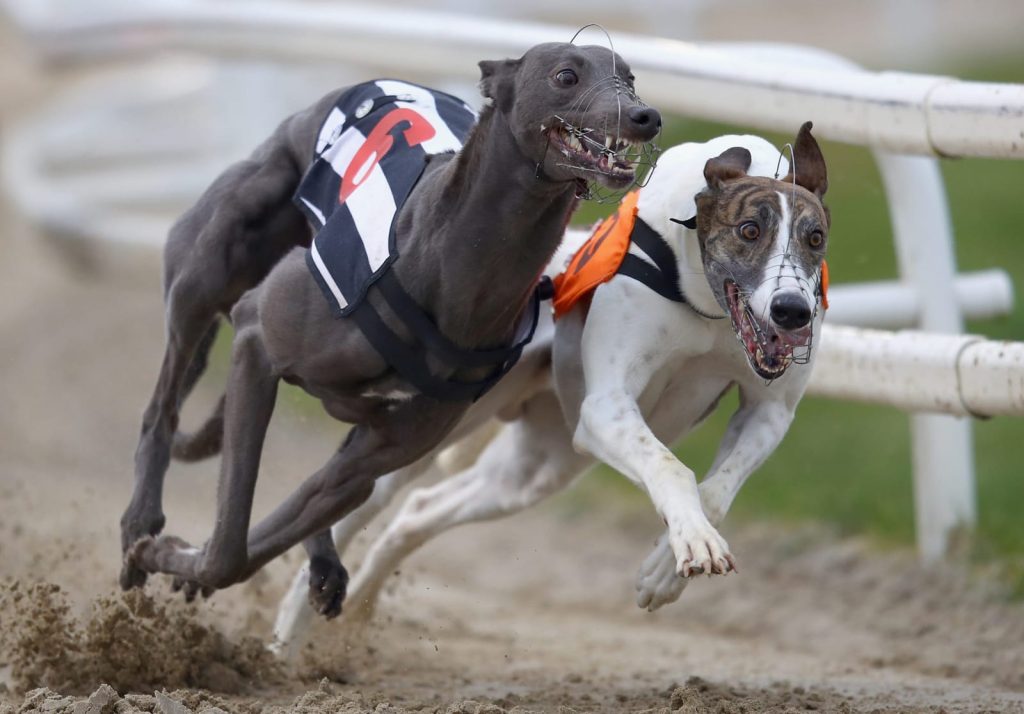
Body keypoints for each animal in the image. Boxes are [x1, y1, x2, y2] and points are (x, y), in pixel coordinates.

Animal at [119, 44, 663, 614]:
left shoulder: (378, 451)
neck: (453, 265)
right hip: (207, 270)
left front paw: (179, 559)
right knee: (161, 410)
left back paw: (322, 561)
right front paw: (154, 549)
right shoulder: (255, 340)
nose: (646, 116)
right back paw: (139, 521)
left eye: (629, 77)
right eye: (566, 75)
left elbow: (254, 544)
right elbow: (228, 545)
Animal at [274, 123, 831, 655]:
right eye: (749, 230)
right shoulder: (606, 408)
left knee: (418, 512)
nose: (792, 311)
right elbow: (672, 467)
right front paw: (692, 541)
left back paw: (357, 616)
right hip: (429, 436)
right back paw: (289, 633)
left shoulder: (769, 410)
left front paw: (664, 568)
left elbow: (716, 489)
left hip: (538, 467)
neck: (704, 302)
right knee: (358, 506)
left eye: (816, 238)